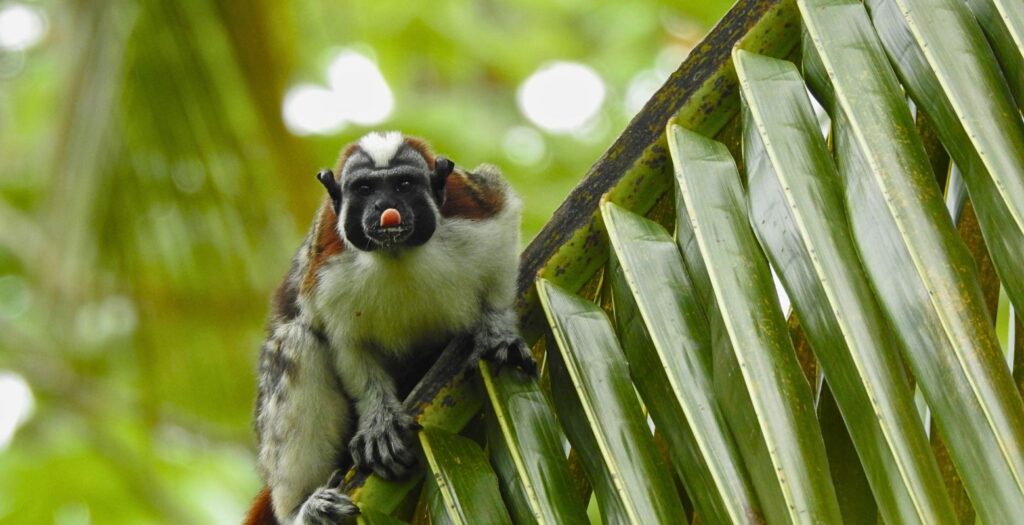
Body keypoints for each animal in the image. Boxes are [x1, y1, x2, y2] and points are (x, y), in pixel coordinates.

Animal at [245, 132, 536, 523]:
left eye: (403, 185)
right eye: (365, 189)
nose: (386, 208)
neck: (397, 254)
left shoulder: (476, 204)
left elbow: (501, 245)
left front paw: (497, 332)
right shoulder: (325, 265)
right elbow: (347, 345)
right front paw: (379, 422)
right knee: (296, 342)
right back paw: (300, 508)